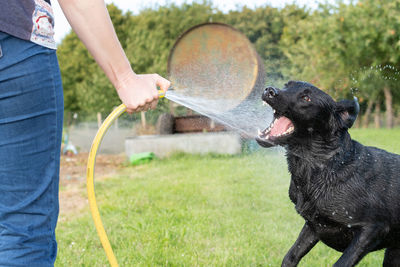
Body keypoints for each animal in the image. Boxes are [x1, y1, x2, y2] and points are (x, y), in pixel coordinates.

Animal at [256, 80, 400, 266]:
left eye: (306, 98)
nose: (269, 90)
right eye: (287, 85)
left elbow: (340, 263)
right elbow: (290, 256)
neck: (325, 165)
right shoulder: (313, 226)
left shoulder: (373, 228)